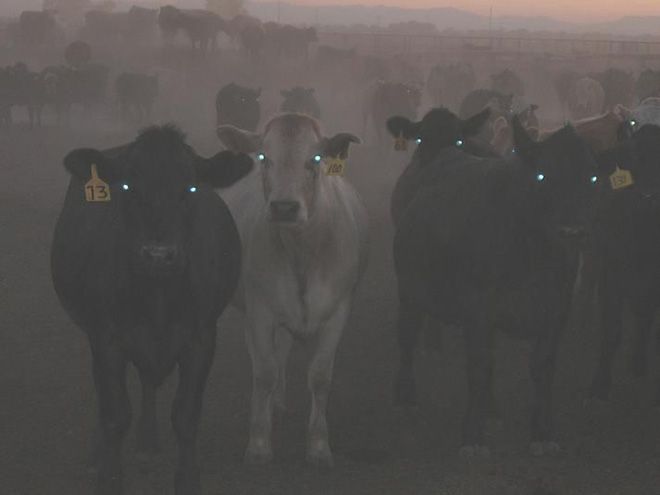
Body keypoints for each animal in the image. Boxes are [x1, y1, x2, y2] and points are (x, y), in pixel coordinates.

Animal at [50, 125, 253, 495]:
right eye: (128, 187)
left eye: (190, 188)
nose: (158, 255)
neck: (158, 297)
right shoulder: (107, 338)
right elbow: (115, 414)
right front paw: (109, 476)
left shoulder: (201, 338)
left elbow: (186, 416)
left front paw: (187, 479)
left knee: (148, 381)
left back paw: (147, 439)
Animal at [219, 113, 368, 468]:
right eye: (264, 157)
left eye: (315, 158)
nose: (284, 207)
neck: (303, 252)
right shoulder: (260, 311)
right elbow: (264, 372)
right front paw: (259, 444)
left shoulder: (338, 311)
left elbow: (320, 376)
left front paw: (319, 446)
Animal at [390, 108, 600, 458]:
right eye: (541, 175)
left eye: (592, 177)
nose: (572, 231)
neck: (532, 254)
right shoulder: (477, 310)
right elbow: (480, 367)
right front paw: (472, 436)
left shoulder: (556, 311)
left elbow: (542, 369)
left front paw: (542, 432)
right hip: (408, 290)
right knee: (406, 338)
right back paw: (405, 400)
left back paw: (490, 408)